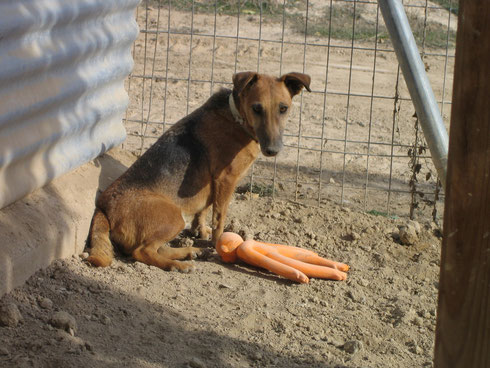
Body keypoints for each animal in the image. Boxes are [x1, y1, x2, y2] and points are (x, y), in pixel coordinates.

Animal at [87, 72, 310, 272]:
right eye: (257, 108)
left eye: (283, 108)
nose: (273, 150)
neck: (236, 116)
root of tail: (103, 207)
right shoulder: (225, 179)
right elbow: (219, 218)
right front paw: (218, 243)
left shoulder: (209, 183)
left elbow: (203, 210)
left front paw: (200, 231)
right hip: (173, 218)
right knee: (142, 251)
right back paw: (176, 264)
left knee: (155, 248)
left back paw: (188, 252)